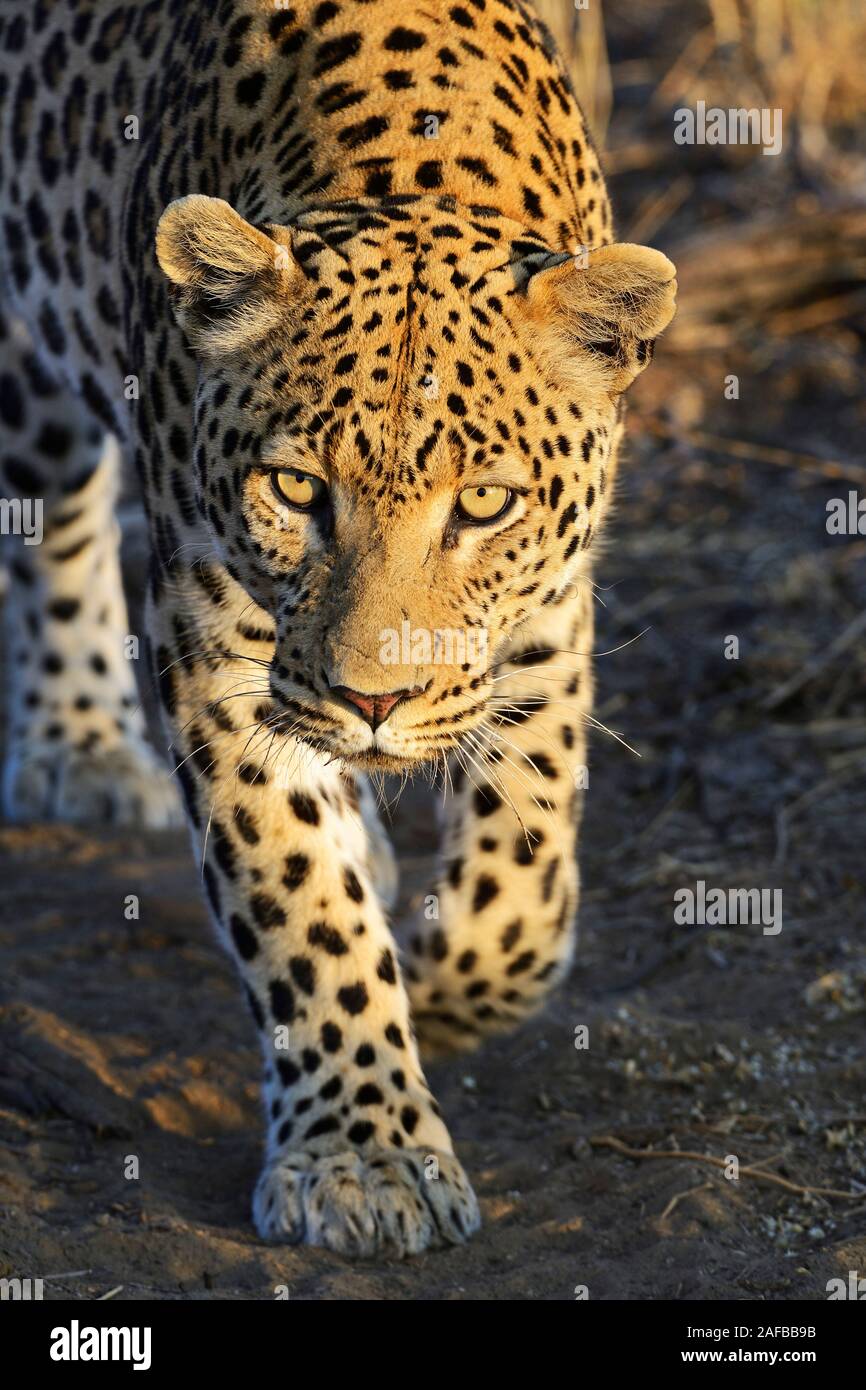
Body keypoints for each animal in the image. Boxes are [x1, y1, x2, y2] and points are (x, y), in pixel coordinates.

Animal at [0, 0, 676, 1259]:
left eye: (484, 504)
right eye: (295, 489)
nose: (374, 699)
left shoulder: (545, 615)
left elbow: (522, 882)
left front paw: (446, 991)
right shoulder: (215, 641)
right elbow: (298, 901)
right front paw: (363, 1153)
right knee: (50, 507)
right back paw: (79, 738)